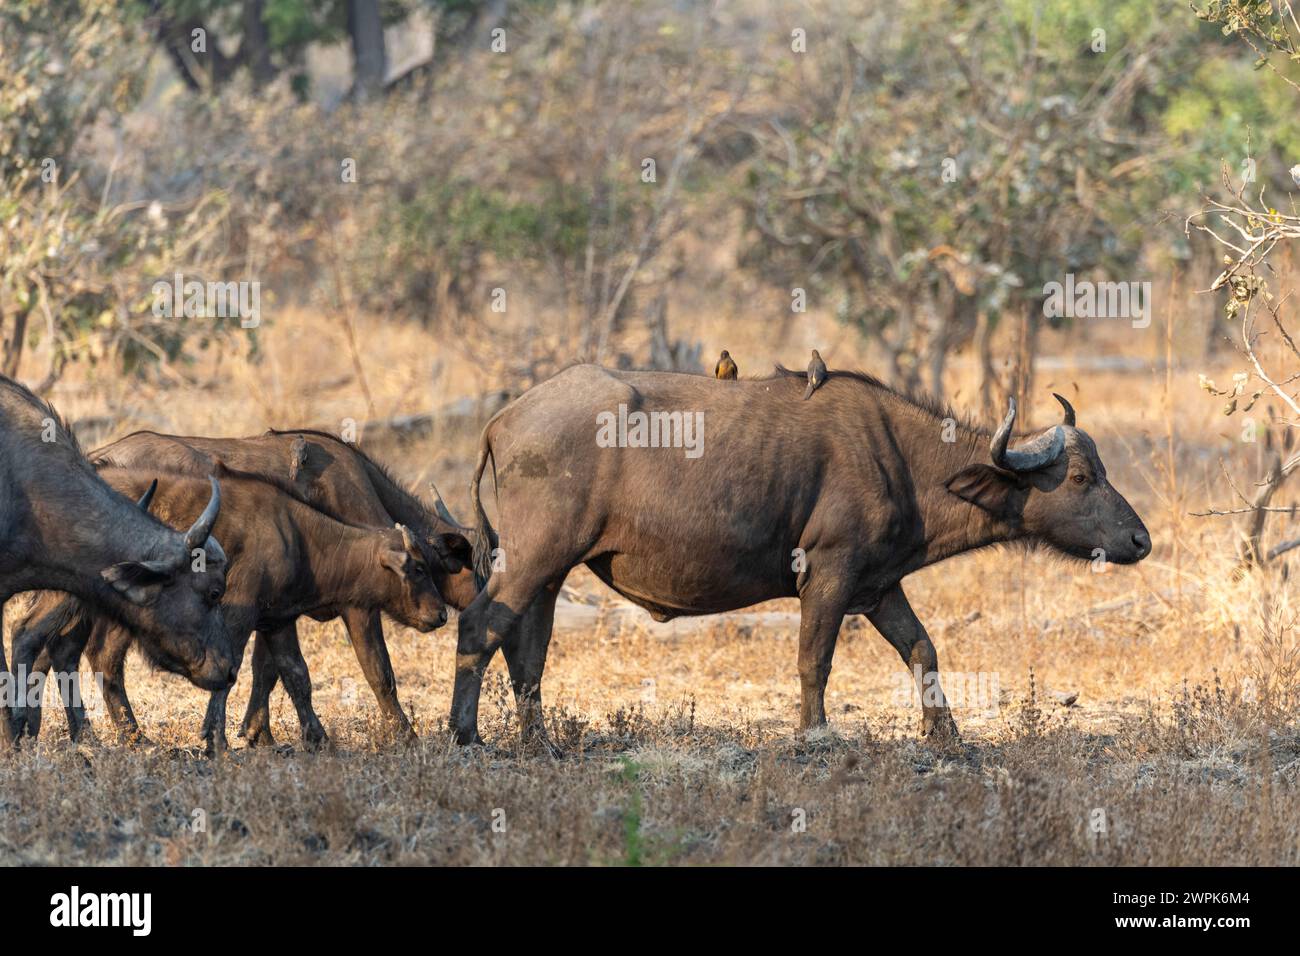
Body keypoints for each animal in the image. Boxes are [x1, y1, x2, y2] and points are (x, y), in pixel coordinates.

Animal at [452, 361, 1154, 749]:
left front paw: (946, 735)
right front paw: (814, 735)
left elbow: (923, 650)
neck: (899, 457)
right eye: (1079, 478)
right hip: (536, 559)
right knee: (481, 625)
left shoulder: (879, 586)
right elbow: (814, 660)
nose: (1141, 540)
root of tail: (504, 419)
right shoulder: (829, 574)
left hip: (548, 573)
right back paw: (465, 736)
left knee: (528, 651)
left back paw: (540, 742)